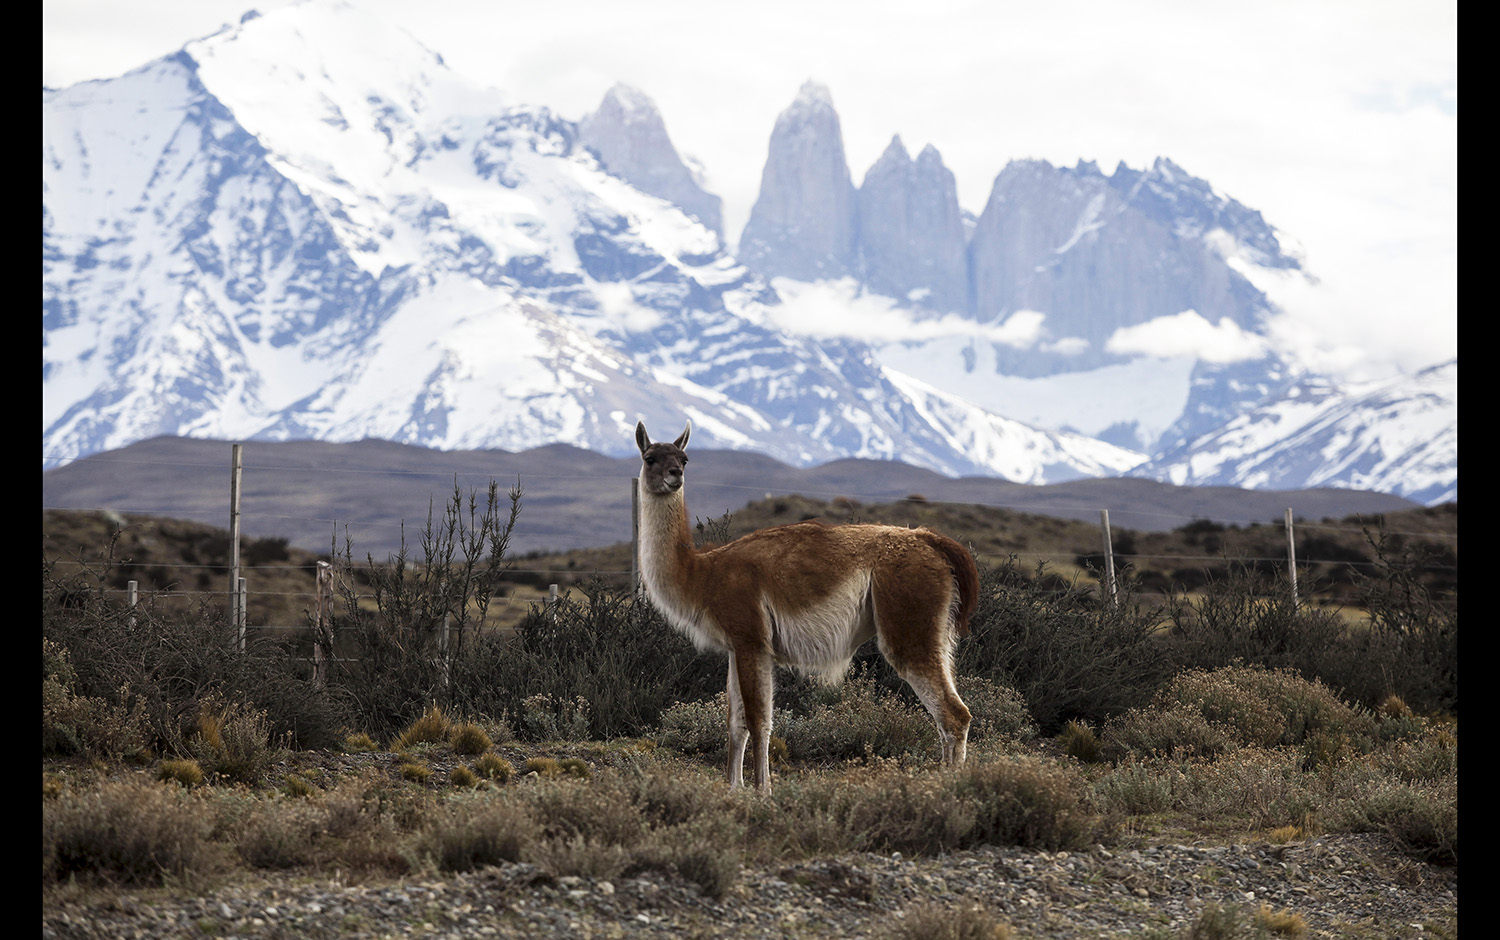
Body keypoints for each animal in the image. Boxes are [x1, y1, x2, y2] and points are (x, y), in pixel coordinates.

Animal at [634, 420, 979, 792]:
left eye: (684, 459)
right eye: (651, 458)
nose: (675, 474)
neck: (703, 573)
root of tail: (931, 539)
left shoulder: (751, 637)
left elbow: (758, 720)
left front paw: (762, 789)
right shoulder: (737, 645)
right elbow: (734, 720)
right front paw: (733, 788)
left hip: (909, 621)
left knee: (953, 714)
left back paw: (949, 786)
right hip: (937, 631)